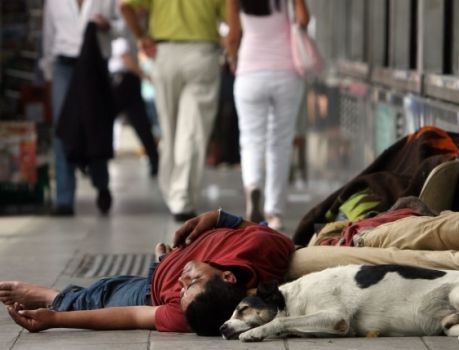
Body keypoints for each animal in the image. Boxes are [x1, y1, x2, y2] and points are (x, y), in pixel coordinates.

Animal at [219, 266, 459, 342]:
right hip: (448, 324)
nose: (220, 328)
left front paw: (254, 333)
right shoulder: (336, 328)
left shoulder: (336, 317)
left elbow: (281, 321)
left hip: (455, 294)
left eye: (242, 310)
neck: (292, 298)